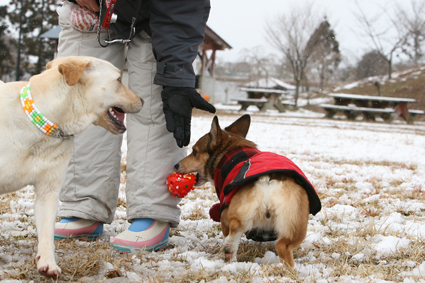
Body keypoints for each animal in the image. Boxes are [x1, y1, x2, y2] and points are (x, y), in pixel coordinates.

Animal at [0, 56, 143, 278]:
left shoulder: (48, 192)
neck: (42, 126)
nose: (143, 101)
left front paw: (48, 264)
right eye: (119, 79)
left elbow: (47, 232)